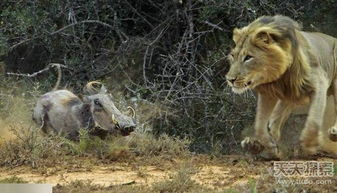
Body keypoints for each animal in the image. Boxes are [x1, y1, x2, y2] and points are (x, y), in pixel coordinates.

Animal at [224, 15, 337, 158]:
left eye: (248, 57)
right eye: (233, 55)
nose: (230, 79)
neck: (279, 77)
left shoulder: (319, 82)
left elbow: (314, 120)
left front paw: (309, 146)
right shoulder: (268, 93)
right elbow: (260, 125)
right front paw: (270, 147)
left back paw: (334, 133)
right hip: (290, 97)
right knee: (274, 123)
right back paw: (253, 144)